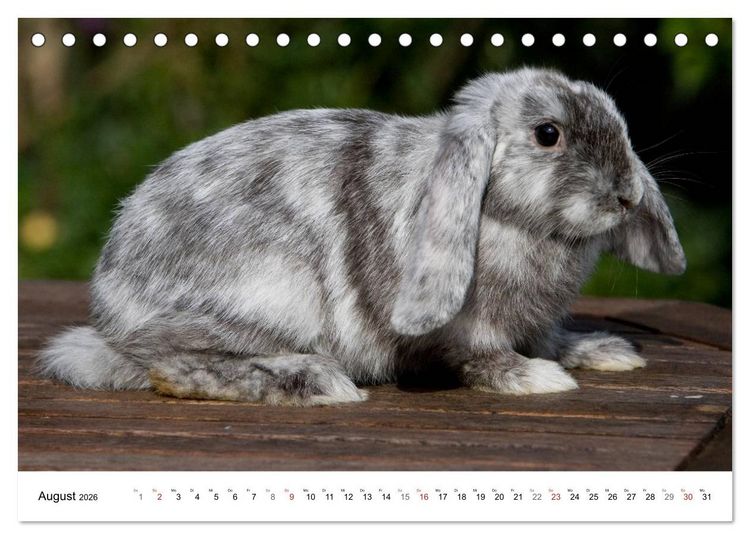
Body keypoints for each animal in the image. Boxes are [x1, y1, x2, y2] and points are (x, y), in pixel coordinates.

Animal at [38, 67, 686, 405]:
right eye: (547, 134)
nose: (628, 195)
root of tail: (109, 323)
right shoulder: (467, 327)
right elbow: (481, 358)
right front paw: (537, 379)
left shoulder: (539, 323)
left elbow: (554, 337)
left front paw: (606, 351)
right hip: (272, 297)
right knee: (169, 367)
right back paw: (320, 383)